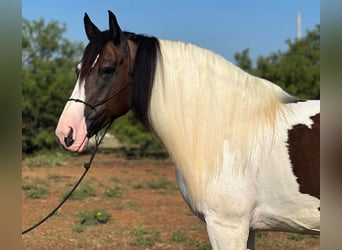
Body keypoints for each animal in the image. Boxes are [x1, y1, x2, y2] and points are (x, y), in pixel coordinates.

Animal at [54, 10, 320, 249]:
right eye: (78, 69)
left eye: (107, 68)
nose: (67, 132)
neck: (229, 133)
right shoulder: (247, 229)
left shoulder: (227, 227)